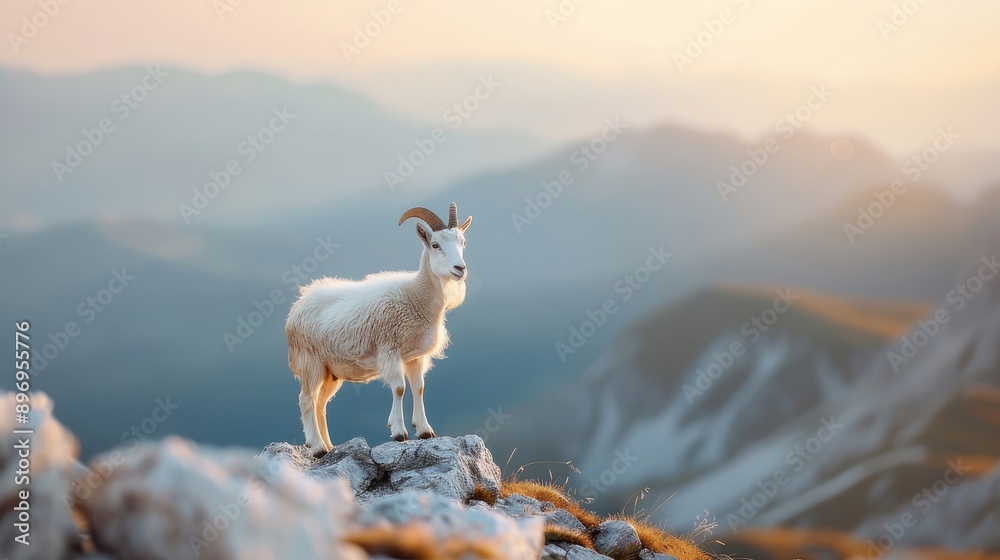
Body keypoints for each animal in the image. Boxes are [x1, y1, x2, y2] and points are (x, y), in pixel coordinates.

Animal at [285, 203, 473, 455]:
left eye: (463, 242)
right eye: (435, 245)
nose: (460, 268)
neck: (416, 297)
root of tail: (298, 304)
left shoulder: (415, 356)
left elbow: (419, 387)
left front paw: (425, 431)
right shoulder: (389, 349)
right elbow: (400, 388)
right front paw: (399, 433)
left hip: (330, 371)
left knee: (320, 404)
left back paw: (329, 445)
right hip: (310, 363)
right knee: (306, 400)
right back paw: (317, 448)